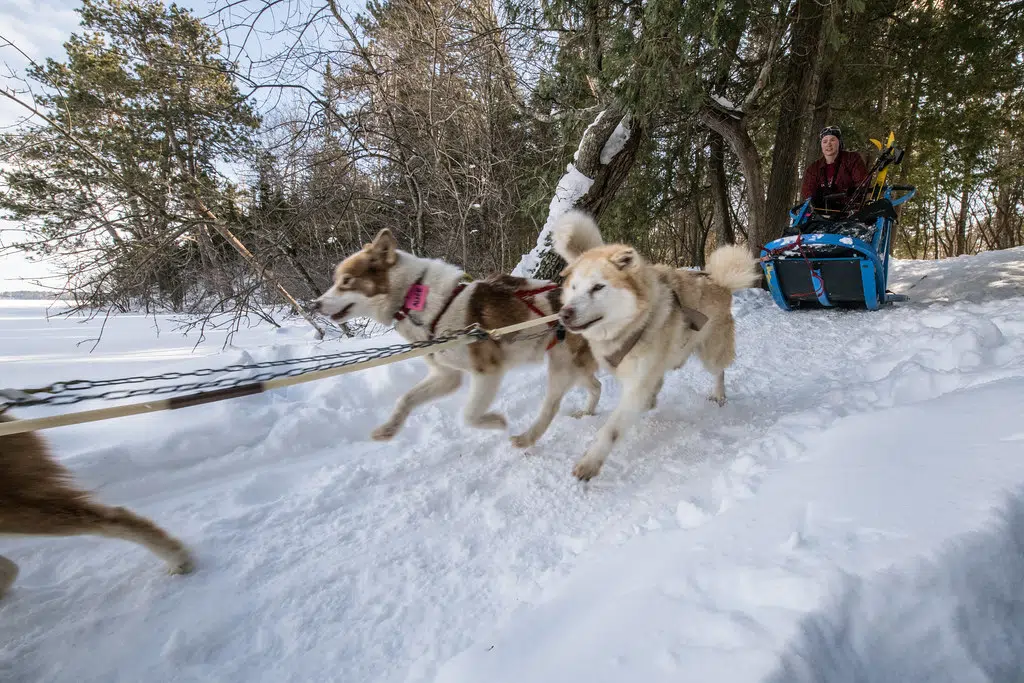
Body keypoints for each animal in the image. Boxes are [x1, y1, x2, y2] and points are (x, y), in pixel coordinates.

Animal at [311, 228, 598, 448]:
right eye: (336, 280)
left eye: (346, 281)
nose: (314, 305)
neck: (424, 303)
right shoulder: (447, 376)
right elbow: (406, 399)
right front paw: (388, 428)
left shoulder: (487, 372)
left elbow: (468, 416)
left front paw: (497, 421)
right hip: (573, 366)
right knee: (597, 386)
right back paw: (587, 411)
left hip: (561, 367)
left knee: (551, 406)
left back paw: (527, 438)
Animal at [552, 208, 761, 481]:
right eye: (574, 288)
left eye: (598, 287)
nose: (564, 313)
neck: (633, 324)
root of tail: (720, 283)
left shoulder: (636, 385)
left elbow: (611, 429)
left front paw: (590, 462)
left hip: (711, 354)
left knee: (719, 372)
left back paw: (719, 395)